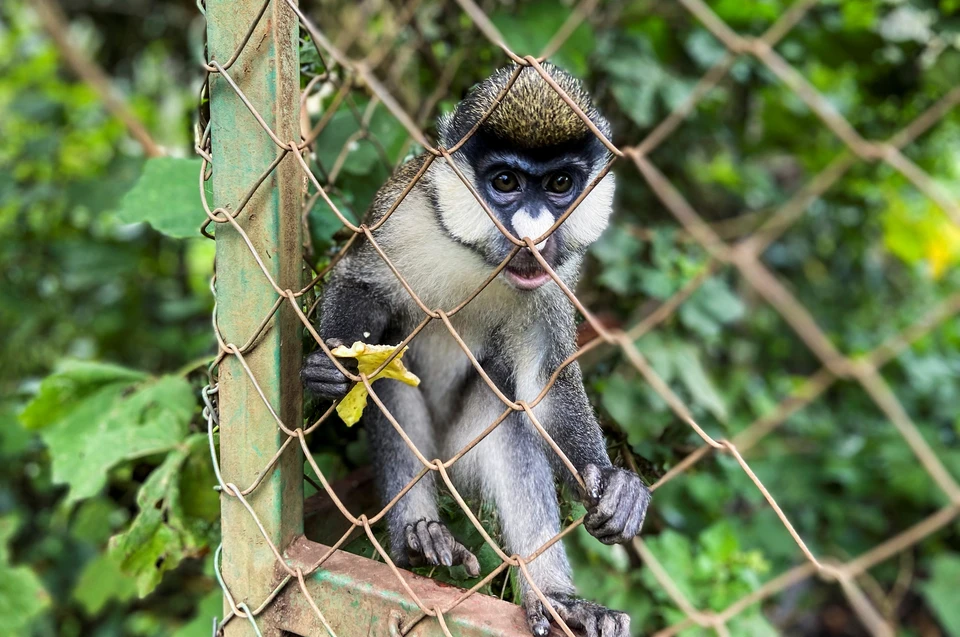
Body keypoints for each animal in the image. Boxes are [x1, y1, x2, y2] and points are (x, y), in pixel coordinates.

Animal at [304, 63, 648, 636]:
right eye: (504, 182)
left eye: (560, 184)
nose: (533, 236)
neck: (483, 260)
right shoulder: (405, 214)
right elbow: (361, 283)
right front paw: (331, 368)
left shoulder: (554, 282)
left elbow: (540, 390)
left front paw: (615, 485)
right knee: (391, 377)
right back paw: (418, 535)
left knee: (507, 413)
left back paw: (556, 599)